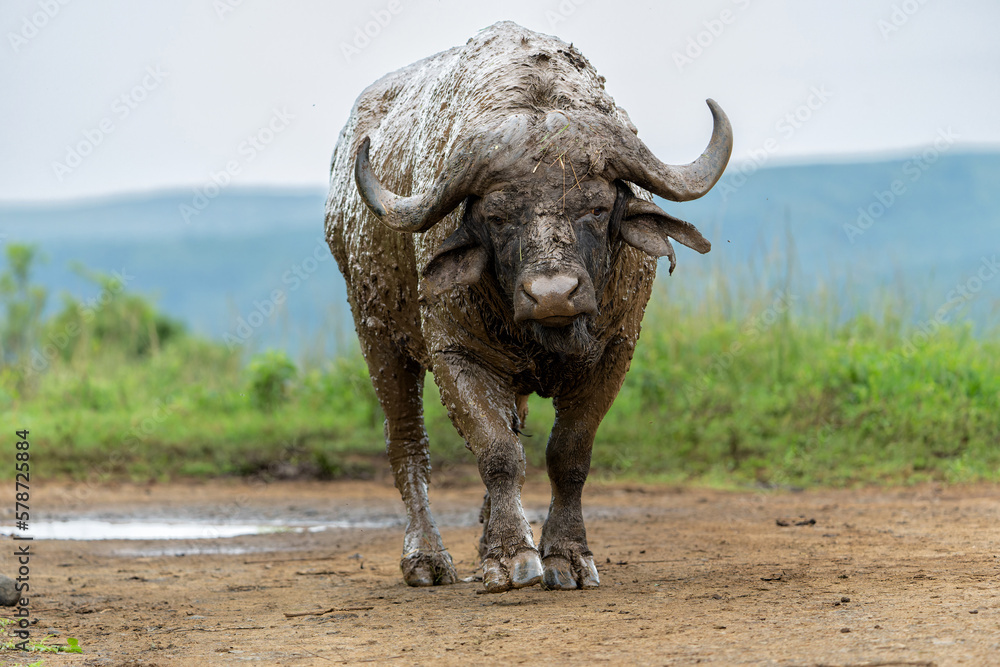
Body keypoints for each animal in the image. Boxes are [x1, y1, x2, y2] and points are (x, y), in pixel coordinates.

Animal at [325, 21, 732, 593]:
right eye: (497, 217)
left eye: (596, 207)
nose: (553, 294)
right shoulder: (455, 354)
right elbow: (496, 452)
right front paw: (512, 557)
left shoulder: (615, 351)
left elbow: (568, 454)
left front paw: (565, 556)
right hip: (378, 336)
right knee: (407, 442)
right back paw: (426, 557)